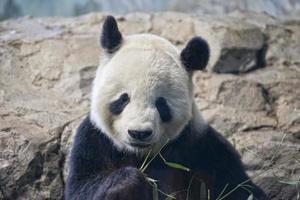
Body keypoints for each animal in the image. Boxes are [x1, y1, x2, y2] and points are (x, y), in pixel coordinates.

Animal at [64, 16, 268, 200]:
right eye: (123, 99)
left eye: (161, 103)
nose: (139, 133)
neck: (141, 154)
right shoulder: (94, 140)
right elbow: (81, 189)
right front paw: (129, 183)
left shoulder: (201, 147)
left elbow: (241, 189)